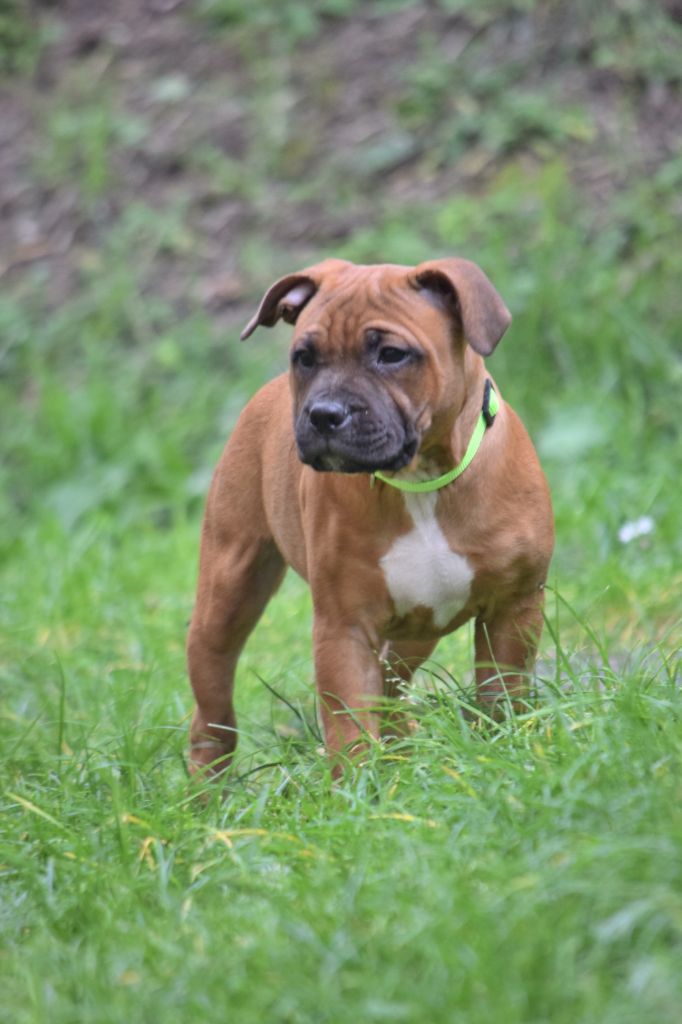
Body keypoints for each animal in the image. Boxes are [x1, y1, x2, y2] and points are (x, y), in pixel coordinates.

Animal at [186, 258, 552, 774]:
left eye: (393, 355)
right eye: (305, 357)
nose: (324, 414)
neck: (421, 480)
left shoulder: (513, 608)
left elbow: (502, 696)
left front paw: (502, 753)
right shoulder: (344, 627)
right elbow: (350, 729)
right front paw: (359, 786)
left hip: (415, 631)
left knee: (392, 684)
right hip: (228, 590)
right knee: (213, 707)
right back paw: (207, 785)